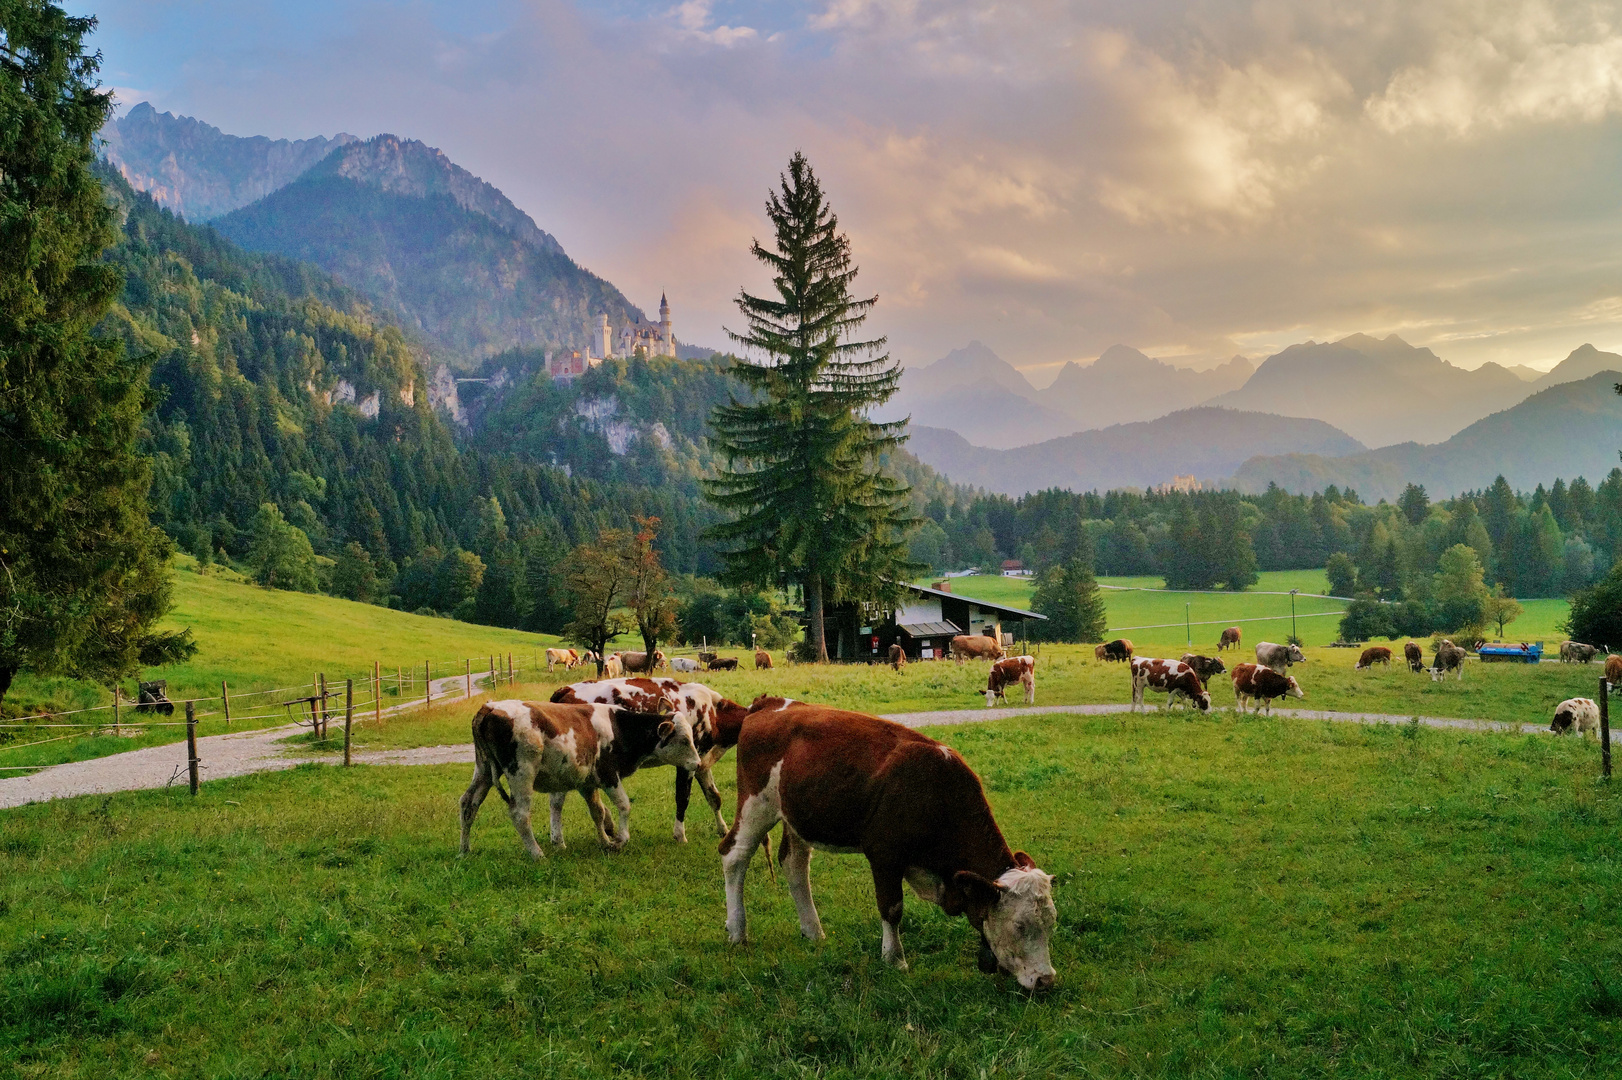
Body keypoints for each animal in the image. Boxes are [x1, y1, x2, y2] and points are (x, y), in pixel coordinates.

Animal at [463, 697, 703, 856]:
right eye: (684, 740)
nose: (698, 763)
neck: (619, 728)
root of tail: (491, 707)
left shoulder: (588, 783)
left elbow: (597, 811)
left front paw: (605, 841)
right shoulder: (608, 775)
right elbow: (624, 806)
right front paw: (620, 840)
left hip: (483, 770)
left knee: (468, 803)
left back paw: (464, 850)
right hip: (521, 772)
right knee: (520, 814)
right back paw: (537, 853)